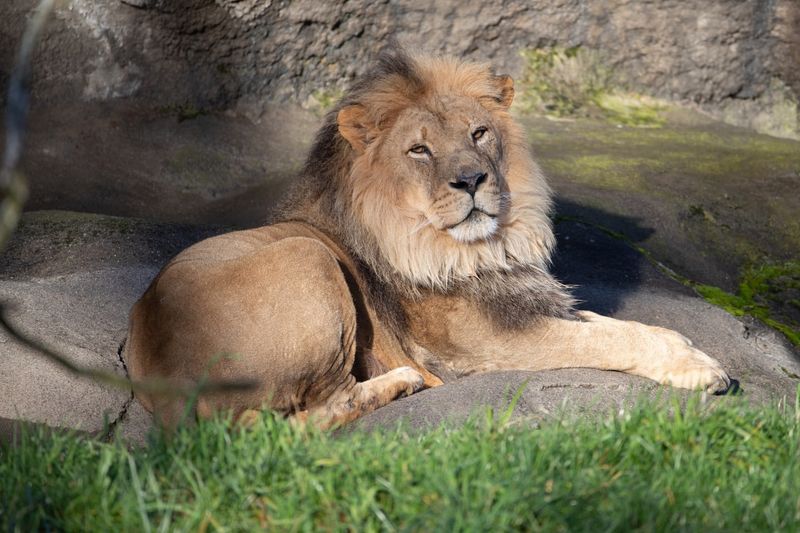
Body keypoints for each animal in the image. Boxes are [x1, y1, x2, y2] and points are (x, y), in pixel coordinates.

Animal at [125, 51, 732, 428]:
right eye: (419, 150)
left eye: (479, 133)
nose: (471, 180)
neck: (483, 248)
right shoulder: (486, 347)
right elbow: (605, 340)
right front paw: (703, 371)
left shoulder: (522, 302)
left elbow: (625, 325)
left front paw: (689, 348)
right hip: (307, 256)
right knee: (311, 411)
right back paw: (404, 383)